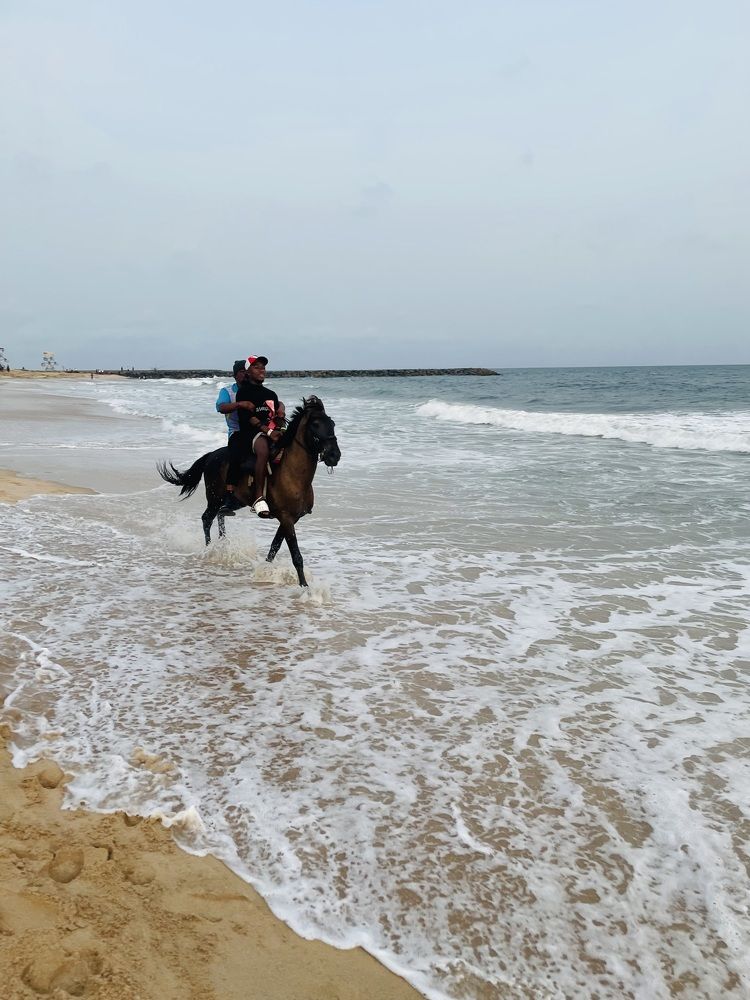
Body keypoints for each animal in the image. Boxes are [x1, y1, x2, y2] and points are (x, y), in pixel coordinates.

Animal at [157, 396, 340, 586]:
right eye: (315, 424)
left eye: (332, 423)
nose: (334, 455)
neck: (293, 473)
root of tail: (211, 455)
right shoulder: (286, 518)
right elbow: (296, 555)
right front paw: (304, 586)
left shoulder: (291, 519)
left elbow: (274, 547)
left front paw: (266, 570)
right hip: (214, 498)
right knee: (207, 518)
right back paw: (210, 549)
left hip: (235, 500)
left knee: (221, 514)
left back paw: (224, 545)